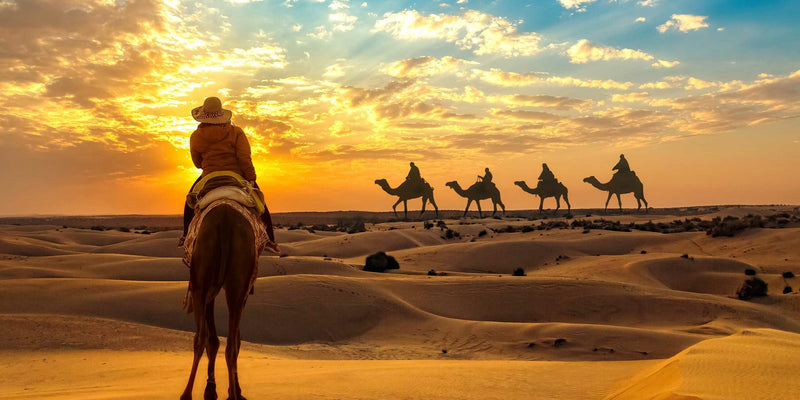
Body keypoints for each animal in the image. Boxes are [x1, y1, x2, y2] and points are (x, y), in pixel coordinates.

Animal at [181, 204, 257, 400]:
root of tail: (225, 220)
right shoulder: (241, 292)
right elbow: (227, 339)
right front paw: (221, 389)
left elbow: (215, 339)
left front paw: (212, 389)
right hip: (233, 283)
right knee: (227, 344)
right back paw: (233, 395)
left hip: (200, 283)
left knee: (202, 337)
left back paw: (187, 394)